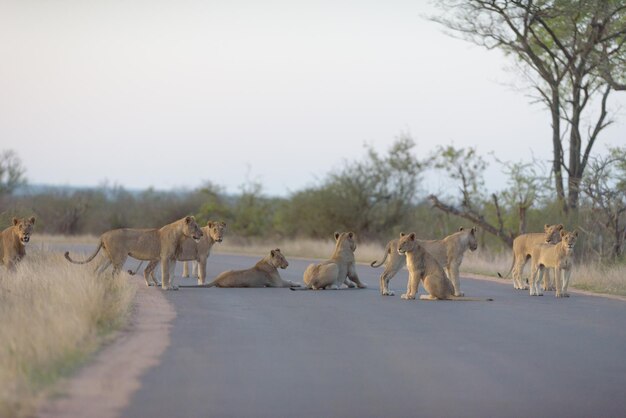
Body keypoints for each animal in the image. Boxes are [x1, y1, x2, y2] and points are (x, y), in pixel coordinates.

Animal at [63, 216, 201, 290]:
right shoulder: (165, 257)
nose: (202, 234)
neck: (180, 236)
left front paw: (172, 286)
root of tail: (103, 234)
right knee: (113, 273)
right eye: (195, 226)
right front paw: (166, 287)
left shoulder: (173, 259)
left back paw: (96, 284)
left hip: (107, 257)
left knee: (97, 270)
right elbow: (166, 274)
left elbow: (171, 274)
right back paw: (116, 286)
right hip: (120, 257)